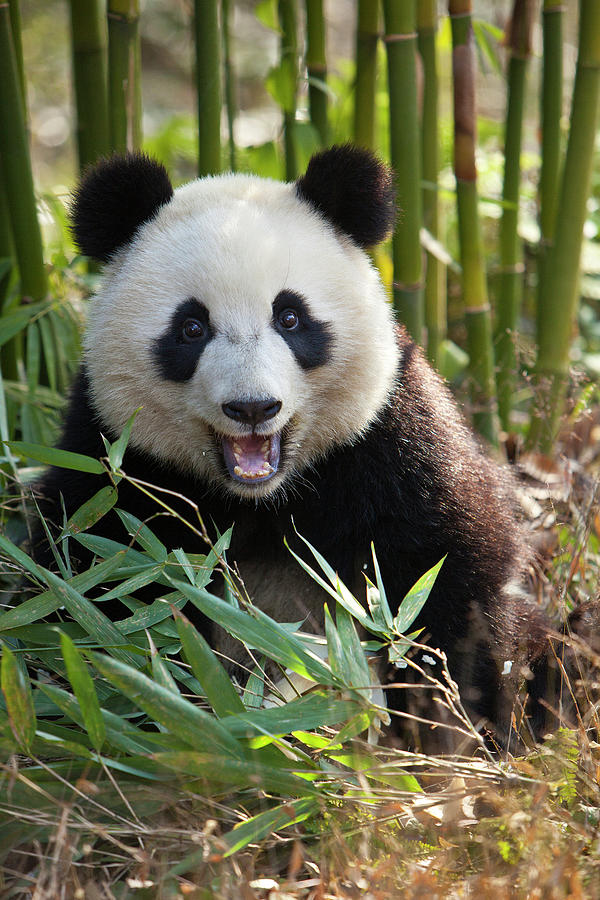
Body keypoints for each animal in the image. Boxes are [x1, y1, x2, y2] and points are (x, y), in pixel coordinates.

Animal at [32, 144, 540, 740]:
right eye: (191, 327)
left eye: (291, 316)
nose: (252, 407)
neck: (262, 498)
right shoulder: (114, 464)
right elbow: (99, 594)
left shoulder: (389, 445)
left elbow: (449, 579)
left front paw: (445, 722)